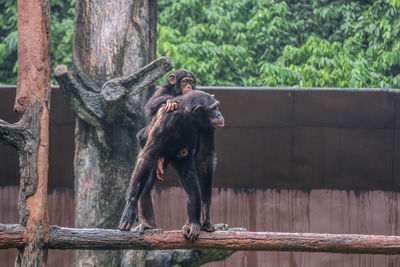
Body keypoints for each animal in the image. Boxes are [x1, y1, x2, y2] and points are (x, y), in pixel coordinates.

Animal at [119, 90, 225, 243]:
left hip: (180, 158)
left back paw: (192, 224)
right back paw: (148, 224)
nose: (219, 114)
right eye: (213, 108)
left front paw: (206, 214)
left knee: (190, 180)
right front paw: (129, 209)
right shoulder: (165, 120)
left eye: (217, 107)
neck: (189, 117)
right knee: (146, 182)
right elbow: (147, 156)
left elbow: (204, 159)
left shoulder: (208, 126)